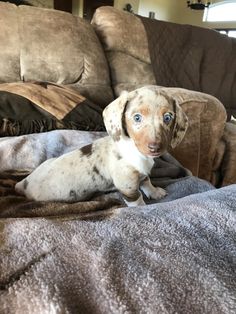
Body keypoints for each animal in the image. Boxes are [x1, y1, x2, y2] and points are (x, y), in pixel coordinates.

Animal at [14, 87, 188, 207]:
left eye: (167, 117)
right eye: (137, 118)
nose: (155, 147)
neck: (137, 153)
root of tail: (24, 183)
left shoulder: (142, 173)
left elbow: (147, 182)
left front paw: (155, 192)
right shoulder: (127, 184)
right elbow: (136, 199)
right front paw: (143, 208)